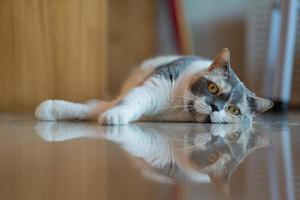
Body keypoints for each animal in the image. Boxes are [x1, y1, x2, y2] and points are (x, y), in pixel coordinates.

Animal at [34, 47, 274, 124]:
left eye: (234, 110)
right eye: (213, 88)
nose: (215, 108)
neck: (174, 110)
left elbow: (97, 108)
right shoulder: (153, 86)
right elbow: (101, 106)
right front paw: (49, 109)